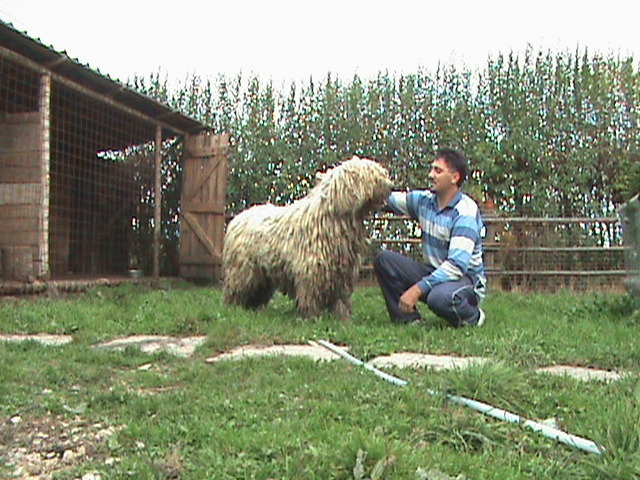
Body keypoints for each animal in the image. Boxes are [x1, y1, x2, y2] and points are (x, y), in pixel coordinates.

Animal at [225, 157, 396, 318]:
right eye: (373, 174)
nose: (390, 185)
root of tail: (237, 218)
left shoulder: (343, 272)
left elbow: (341, 298)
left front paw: (342, 317)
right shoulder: (311, 269)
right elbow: (311, 294)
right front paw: (312, 316)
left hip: (263, 274)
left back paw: (254, 309)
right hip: (243, 269)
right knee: (237, 290)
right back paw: (234, 309)